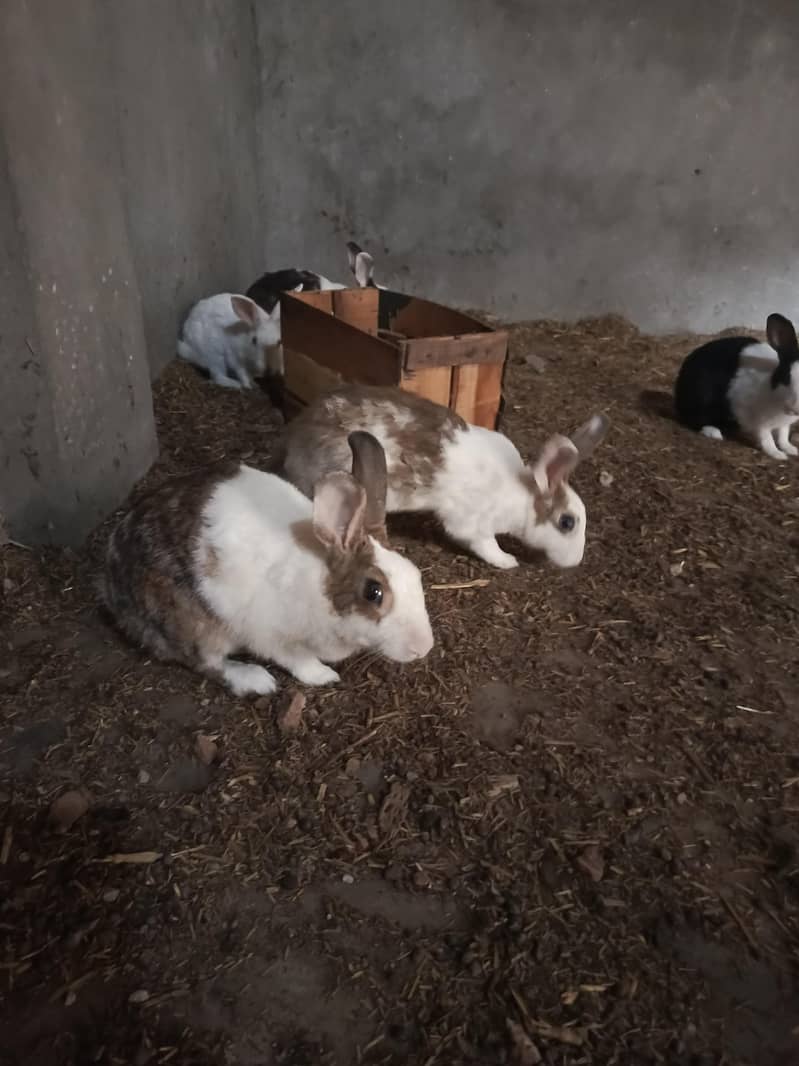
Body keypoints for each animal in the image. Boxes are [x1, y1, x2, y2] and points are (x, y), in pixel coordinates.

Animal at [101, 432, 434, 697]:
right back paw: (256, 680)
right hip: (193, 622)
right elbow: (298, 661)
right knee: (205, 662)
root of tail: (110, 587)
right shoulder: (272, 636)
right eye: (373, 592)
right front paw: (324, 676)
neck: (320, 583)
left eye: (416, 575)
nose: (423, 648)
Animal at [281, 385, 609, 570]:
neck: (522, 495)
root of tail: (294, 441)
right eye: (567, 523)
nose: (575, 562)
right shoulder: (472, 524)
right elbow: (485, 544)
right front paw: (507, 561)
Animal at [674, 313, 799, 459]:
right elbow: (766, 437)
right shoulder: (756, 419)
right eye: (786, 377)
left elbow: (783, 436)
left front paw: (791, 449)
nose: (795, 408)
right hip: (700, 400)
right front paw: (777, 454)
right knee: (694, 420)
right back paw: (714, 432)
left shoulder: (784, 425)